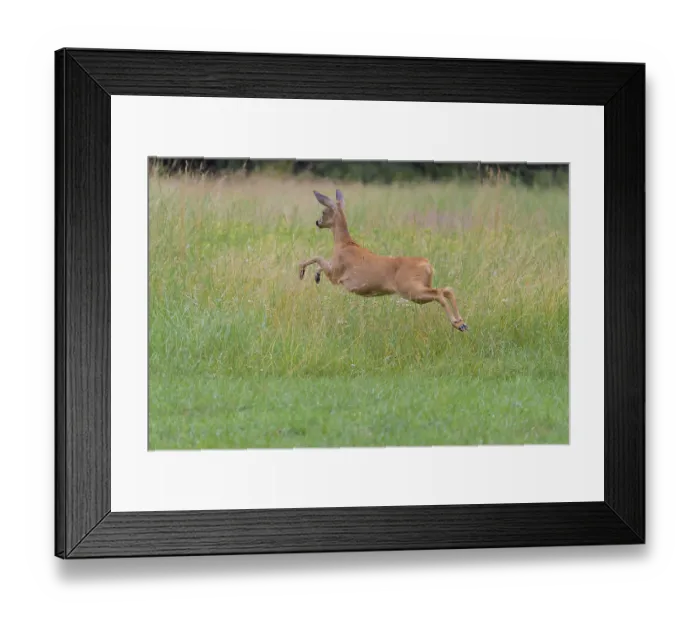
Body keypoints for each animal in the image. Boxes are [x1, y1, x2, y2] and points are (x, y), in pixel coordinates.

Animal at [298, 189, 469, 332]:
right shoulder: (334, 271)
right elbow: (320, 261)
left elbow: (318, 257)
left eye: (324, 211)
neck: (343, 244)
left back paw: (456, 323)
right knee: (447, 289)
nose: (317, 222)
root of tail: (428, 265)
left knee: (439, 293)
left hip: (411, 289)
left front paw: (301, 272)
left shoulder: (336, 274)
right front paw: (316, 276)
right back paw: (462, 322)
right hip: (420, 286)